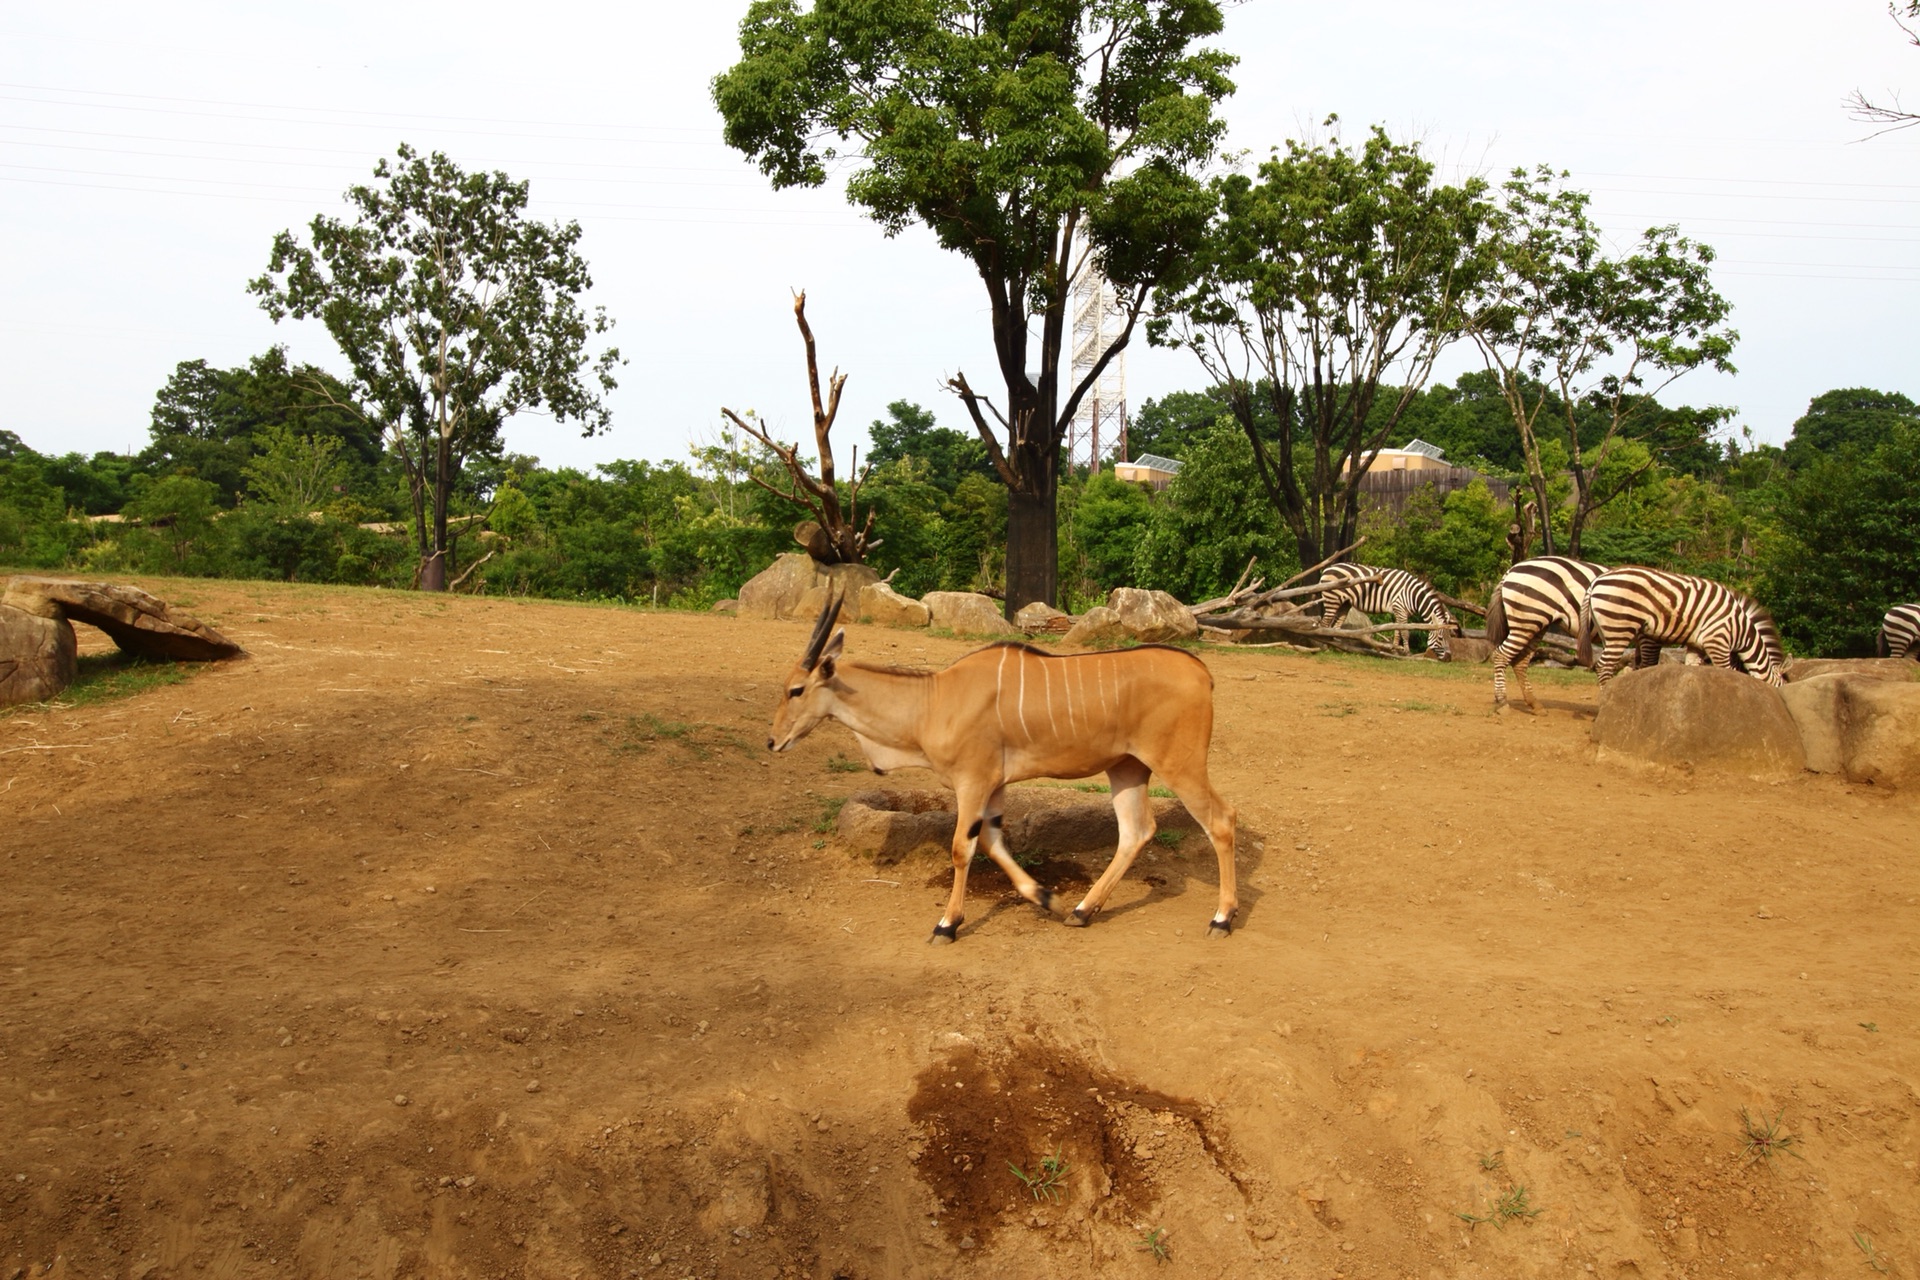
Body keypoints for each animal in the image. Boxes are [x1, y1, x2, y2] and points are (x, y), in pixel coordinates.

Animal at [768, 591, 1244, 940]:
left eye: (796, 689)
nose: (773, 741)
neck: (933, 699)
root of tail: (1202, 673)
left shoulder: (973, 783)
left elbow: (961, 849)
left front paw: (947, 924)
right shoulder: (994, 788)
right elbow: (993, 842)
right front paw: (1045, 897)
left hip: (1180, 765)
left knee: (1220, 820)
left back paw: (1221, 917)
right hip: (1126, 769)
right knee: (1136, 831)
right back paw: (1082, 910)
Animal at [1313, 564, 1459, 660]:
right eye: (1441, 638)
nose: (1448, 658)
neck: (1413, 596)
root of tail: (1328, 568)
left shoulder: (1399, 611)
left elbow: (1397, 632)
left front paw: (1394, 650)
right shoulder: (1400, 608)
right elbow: (1405, 633)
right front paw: (1407, 653)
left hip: (1345, 603)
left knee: (1336, 626)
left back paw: (1336, 646)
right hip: (1332, 599)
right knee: (1325, 624)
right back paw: (1323, 646)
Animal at [1574, 568, 1781, 690]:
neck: (1740, 629)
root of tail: (1596, 582)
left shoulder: (1696, 645)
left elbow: (1693, 670)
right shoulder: (1718, 641)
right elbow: (1727, 671)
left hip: (1606, 629)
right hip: (1620, 626)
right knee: (1604, 666)